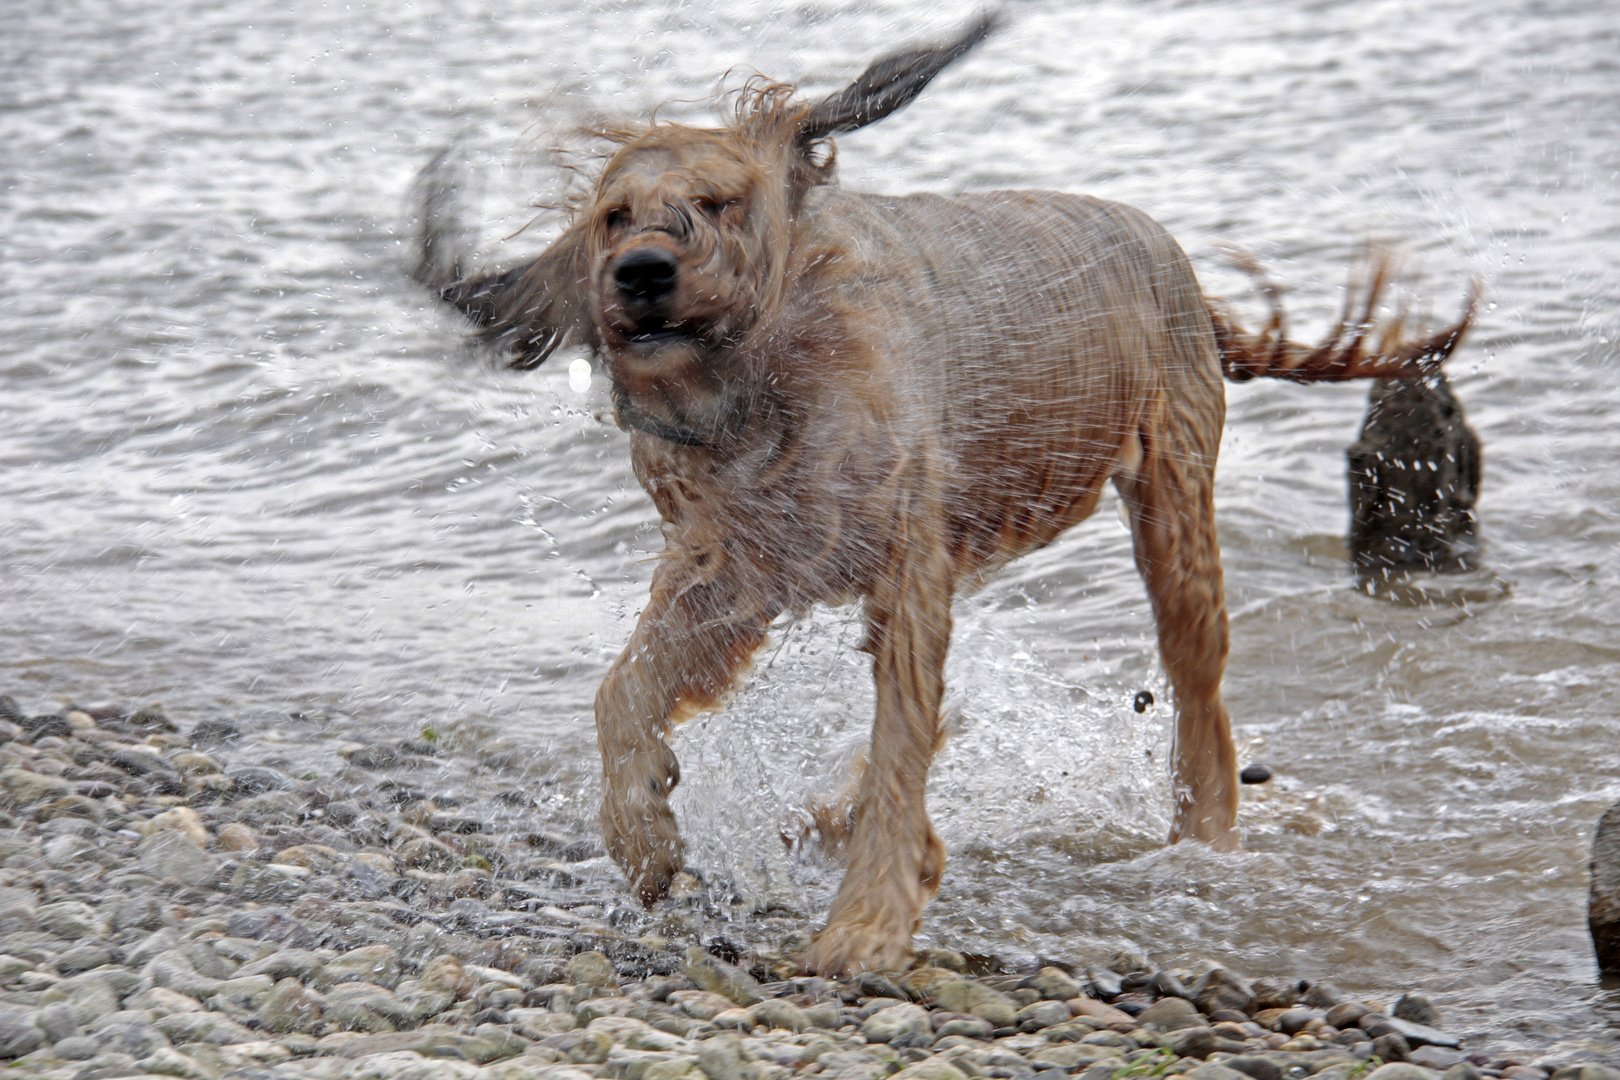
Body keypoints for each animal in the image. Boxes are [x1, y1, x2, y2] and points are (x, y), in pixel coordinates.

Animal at [411, 14, 1477, 977]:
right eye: (613, 218)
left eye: (715, 203)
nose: (639, 273)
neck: (772, 379)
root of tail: (1175, 261)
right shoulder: (738, 568)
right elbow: (624, 692)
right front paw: (646, 835)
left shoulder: (904, 569)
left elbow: (899, 746)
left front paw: (865, 923)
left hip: (1174, 510)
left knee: (1199, 700)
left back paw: (1203, 844)